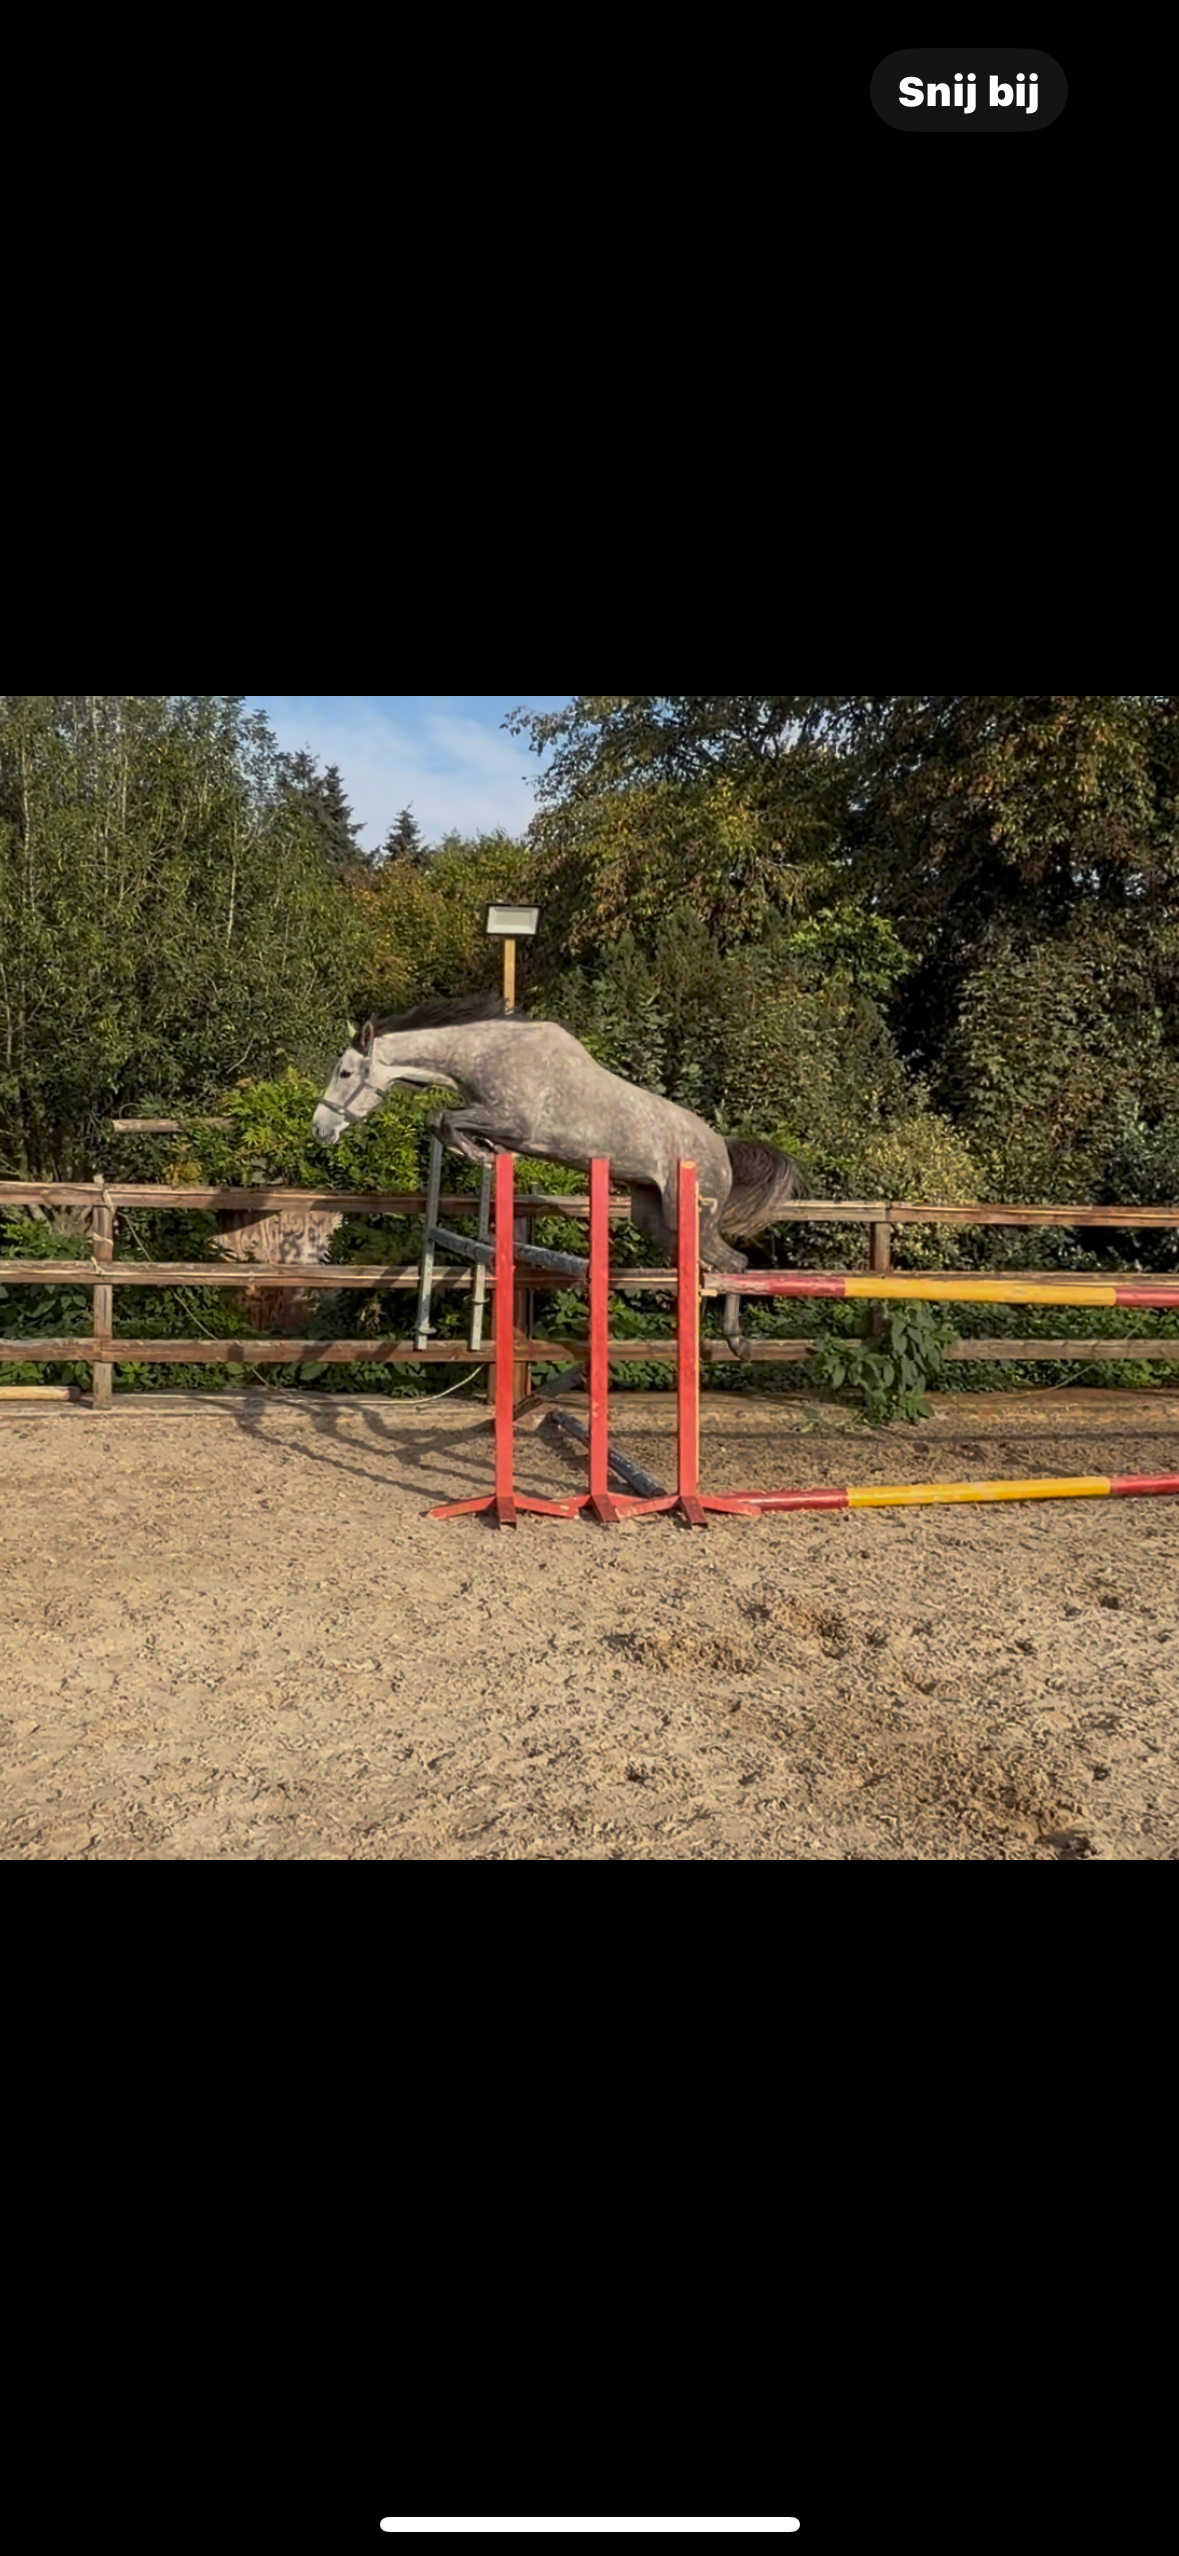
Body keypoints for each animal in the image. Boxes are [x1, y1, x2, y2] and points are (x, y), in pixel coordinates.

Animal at [312, 992, 813, 1275]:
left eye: (344, 1072)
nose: (320, 1128)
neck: (483, 1054)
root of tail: (722, 1149)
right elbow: (441, 1119)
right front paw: (480, 1152)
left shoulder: (515, 1123)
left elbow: (444, 1118)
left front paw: (478, 1153)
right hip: (655, 1217)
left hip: (692, 1215)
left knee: (733, 1263)